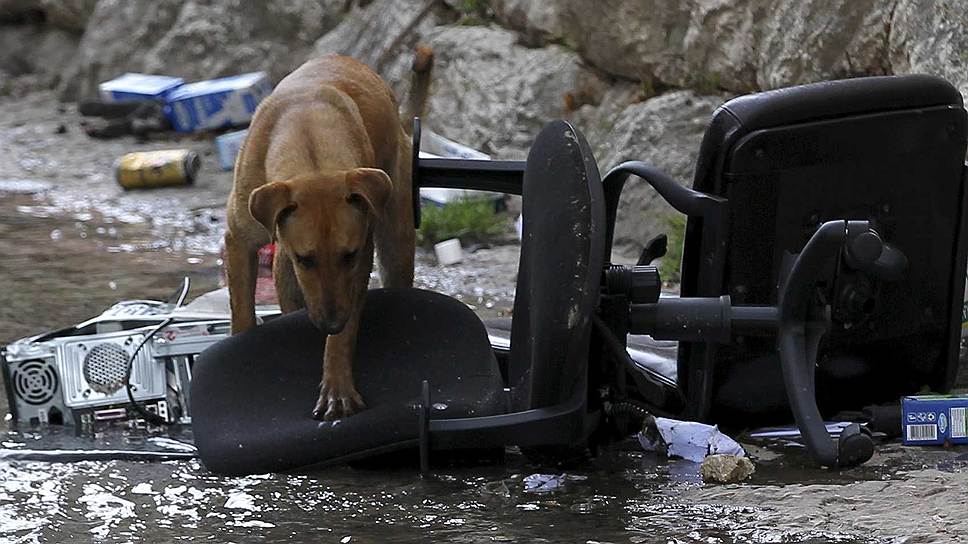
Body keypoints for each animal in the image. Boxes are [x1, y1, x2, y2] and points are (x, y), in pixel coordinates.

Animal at [227, 53, 432, 420]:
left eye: (347, 255)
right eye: (305, 259)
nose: (330, 324)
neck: (308, 144)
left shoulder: (361, 256)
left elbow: (346, 334)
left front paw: (337, 386)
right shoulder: (238, 241)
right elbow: (242, 313)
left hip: (396, 237)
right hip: (285, 274)